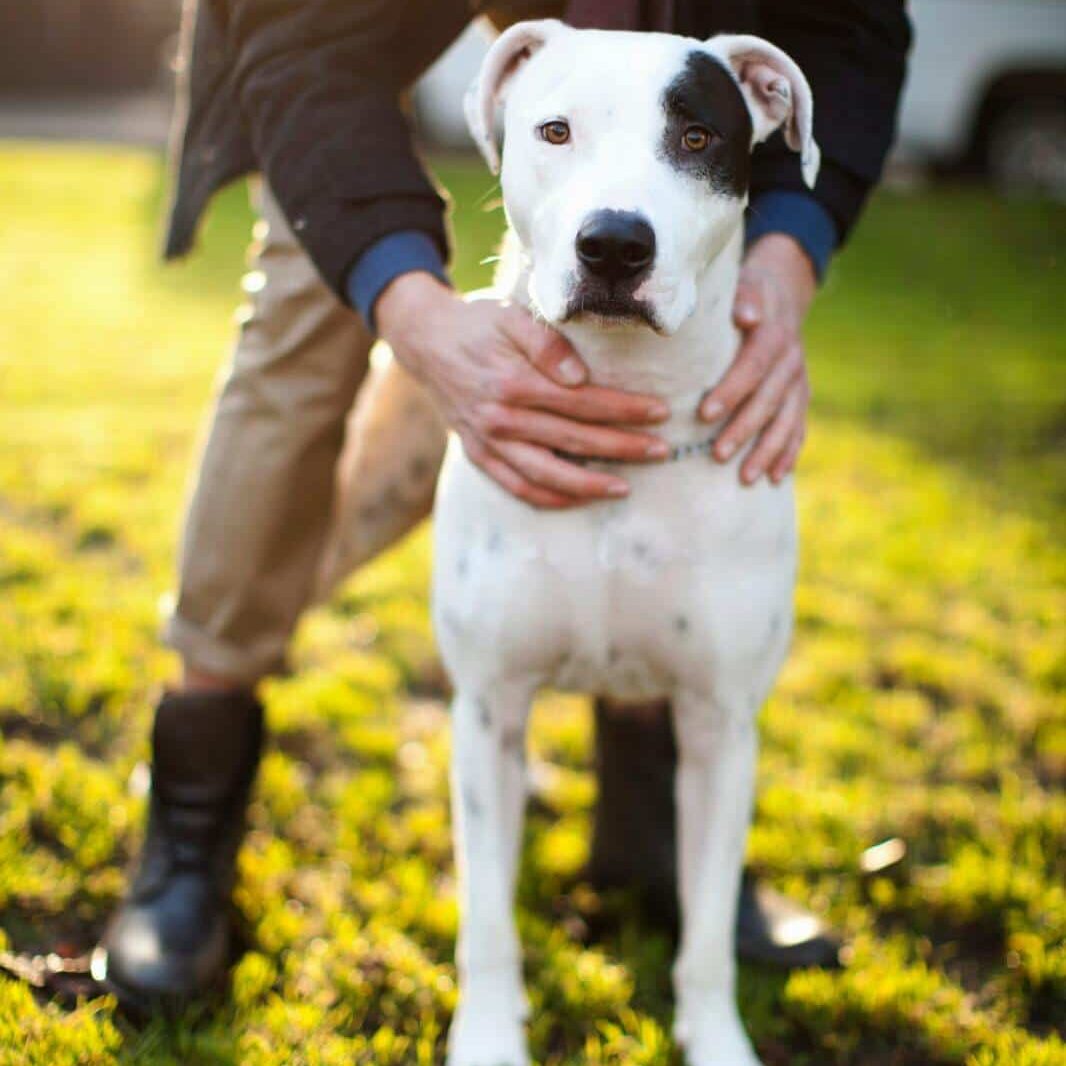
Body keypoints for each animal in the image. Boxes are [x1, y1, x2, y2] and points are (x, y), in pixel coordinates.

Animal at [428, 18, 818, 1066]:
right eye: (555, 131)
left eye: (696, 138)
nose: (612, 243)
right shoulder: (489, 710)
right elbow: (487, 915)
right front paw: (489, 1034)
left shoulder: (722, 725)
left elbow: (708, 929)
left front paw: (717, 1038)